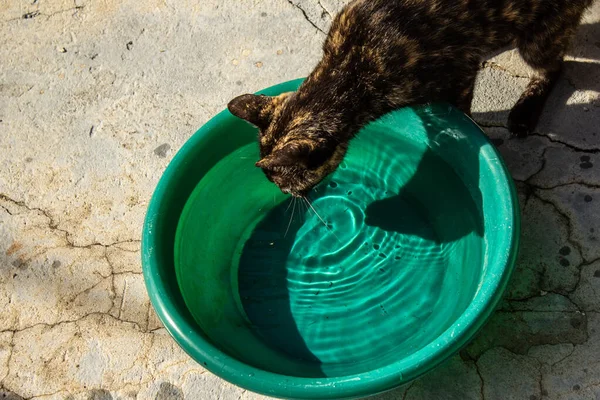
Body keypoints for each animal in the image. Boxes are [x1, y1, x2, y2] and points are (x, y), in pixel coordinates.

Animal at [227, 0, 592, 198]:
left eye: (286, 185)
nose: (282, 195)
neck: (350, 64)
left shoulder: (460, 69)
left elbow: (462, 111)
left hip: (540, 36)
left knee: (553, 66)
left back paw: (524, 112)